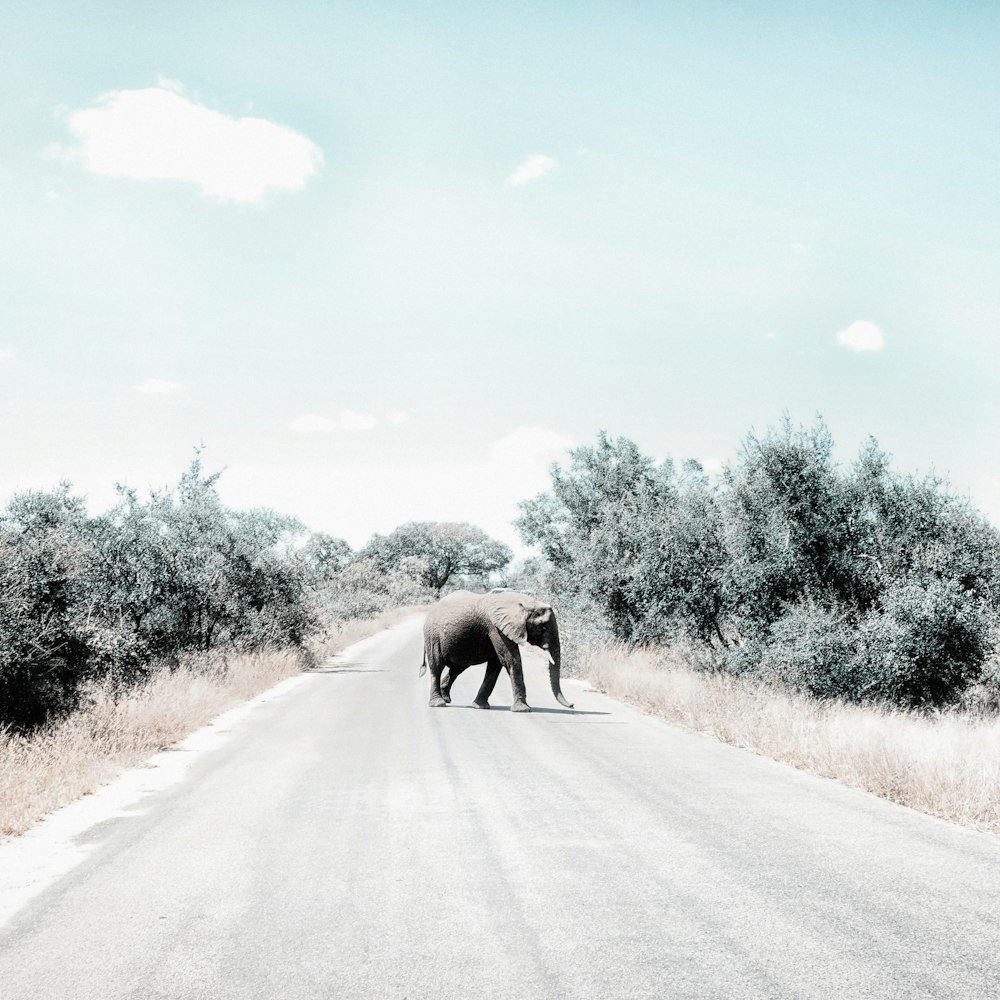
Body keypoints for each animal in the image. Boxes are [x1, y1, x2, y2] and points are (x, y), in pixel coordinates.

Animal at [416, 592, 576, 712]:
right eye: (542, 627)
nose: (573, 705)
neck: (523, 602)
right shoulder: (496, 628)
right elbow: (511, 659)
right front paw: (523, 709)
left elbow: (496, 664)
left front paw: (480, 706)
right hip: (433, 636)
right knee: (437, 666)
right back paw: (438, 703)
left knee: (456, 668)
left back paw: (446, 698)